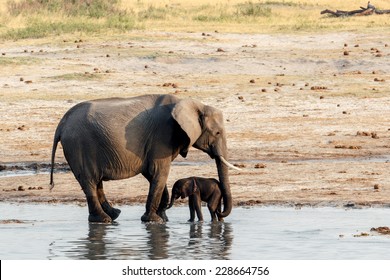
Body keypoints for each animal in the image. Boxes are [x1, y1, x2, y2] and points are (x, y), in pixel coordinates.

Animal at [48, 94, 238, 223]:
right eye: (217, 133)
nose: (220, 212)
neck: (192, 103)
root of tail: (61, 124)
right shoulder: (162, 136)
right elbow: (159, 173)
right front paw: (154, 220)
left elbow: (152, 175)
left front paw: (163, 219)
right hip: (79, 145)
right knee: (90, 182)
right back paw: (103, 220)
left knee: (96, 183)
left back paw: (114, 214)